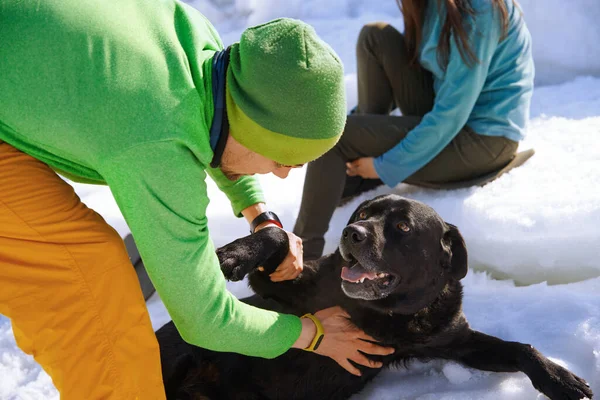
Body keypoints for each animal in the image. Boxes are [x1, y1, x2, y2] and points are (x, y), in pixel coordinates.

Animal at [157, 195, 592, 400]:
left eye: (402, 226)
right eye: (363, 214)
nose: (352, 233)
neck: (386, 314)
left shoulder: (454, 341)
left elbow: (521, 347)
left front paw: (560, 379)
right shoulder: (283, 292)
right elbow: (276, 235)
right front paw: (232, 255)